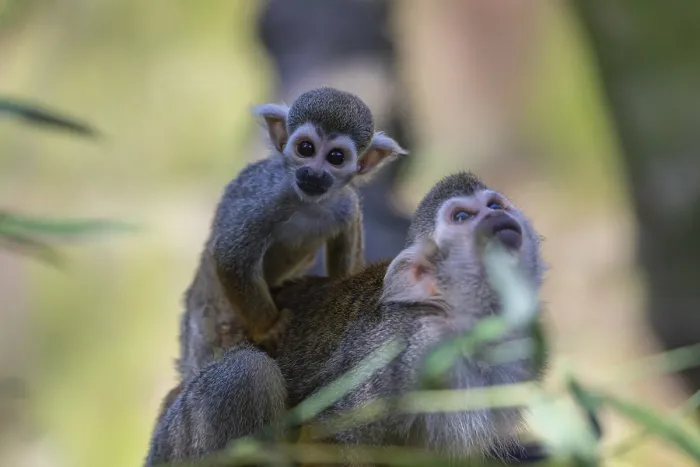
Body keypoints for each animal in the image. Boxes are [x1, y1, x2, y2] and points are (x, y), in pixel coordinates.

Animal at [144, 172, 548, 466]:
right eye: (462, 217)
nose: (497, 216)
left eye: (493, 204)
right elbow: (334, 435)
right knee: (246, 373)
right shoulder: (404, 352)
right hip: (176, 443)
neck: (459, 318)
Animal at [176, 86, 407, 385]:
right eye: (306, 149)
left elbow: (345, 277)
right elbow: (232, 256)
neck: (308, 202)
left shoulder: (346, 205)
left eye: (336, 157)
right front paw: (269, 329)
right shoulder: (269, 195)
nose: (314, 173)